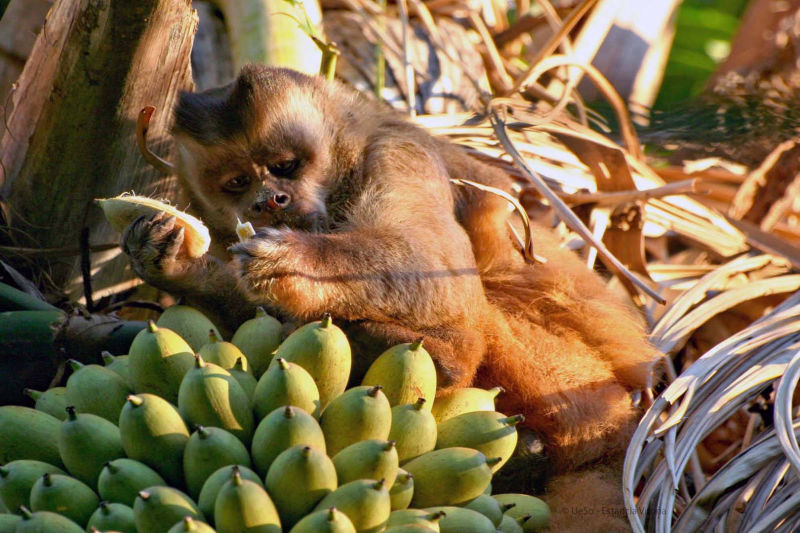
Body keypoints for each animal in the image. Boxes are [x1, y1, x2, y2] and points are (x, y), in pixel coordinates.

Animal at [123, 64, 664, 528]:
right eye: (238, 182)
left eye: (285, 166)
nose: (269, 201)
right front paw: (182, 268)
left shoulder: (399, 150)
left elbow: (436, 268)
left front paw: (295, 261)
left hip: (582, 386)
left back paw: (440, 357)